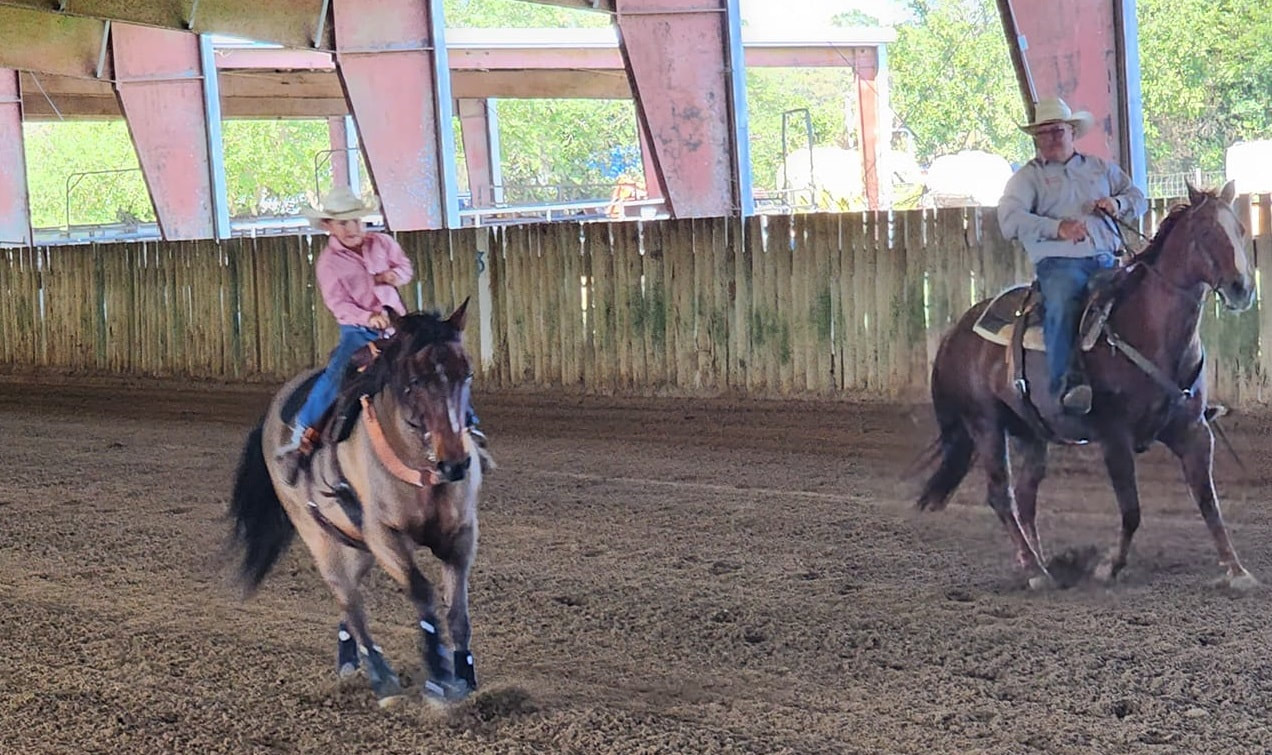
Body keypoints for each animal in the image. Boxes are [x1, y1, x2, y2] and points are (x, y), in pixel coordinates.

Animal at [226, 297, 478, 701]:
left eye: (465, 374)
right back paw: (381, 676)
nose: (454, 463)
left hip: (354, 543)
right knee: (349, 598)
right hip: (319, 537)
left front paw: (465, 679)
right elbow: (422, 593)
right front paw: (438, 676)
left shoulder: (461, 535)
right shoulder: (384, 535)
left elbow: (458, 612)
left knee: (351, 595)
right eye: (415, 381)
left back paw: (350, 660)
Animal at [920, 181, 1256, 587]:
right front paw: (1108, 567)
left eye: (1240, 229)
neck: (1149, 330)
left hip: (1031, 433)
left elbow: (1208, 501)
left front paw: (1236, 570)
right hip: (985, 424)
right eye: (1206, 233)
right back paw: (1035, 570)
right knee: (1001, 495)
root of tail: (956, 333)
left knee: (1026, 497)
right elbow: (1131, 509)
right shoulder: (1114, 437)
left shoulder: (1193, 431)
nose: (1242, 288)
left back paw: (1040, 563)